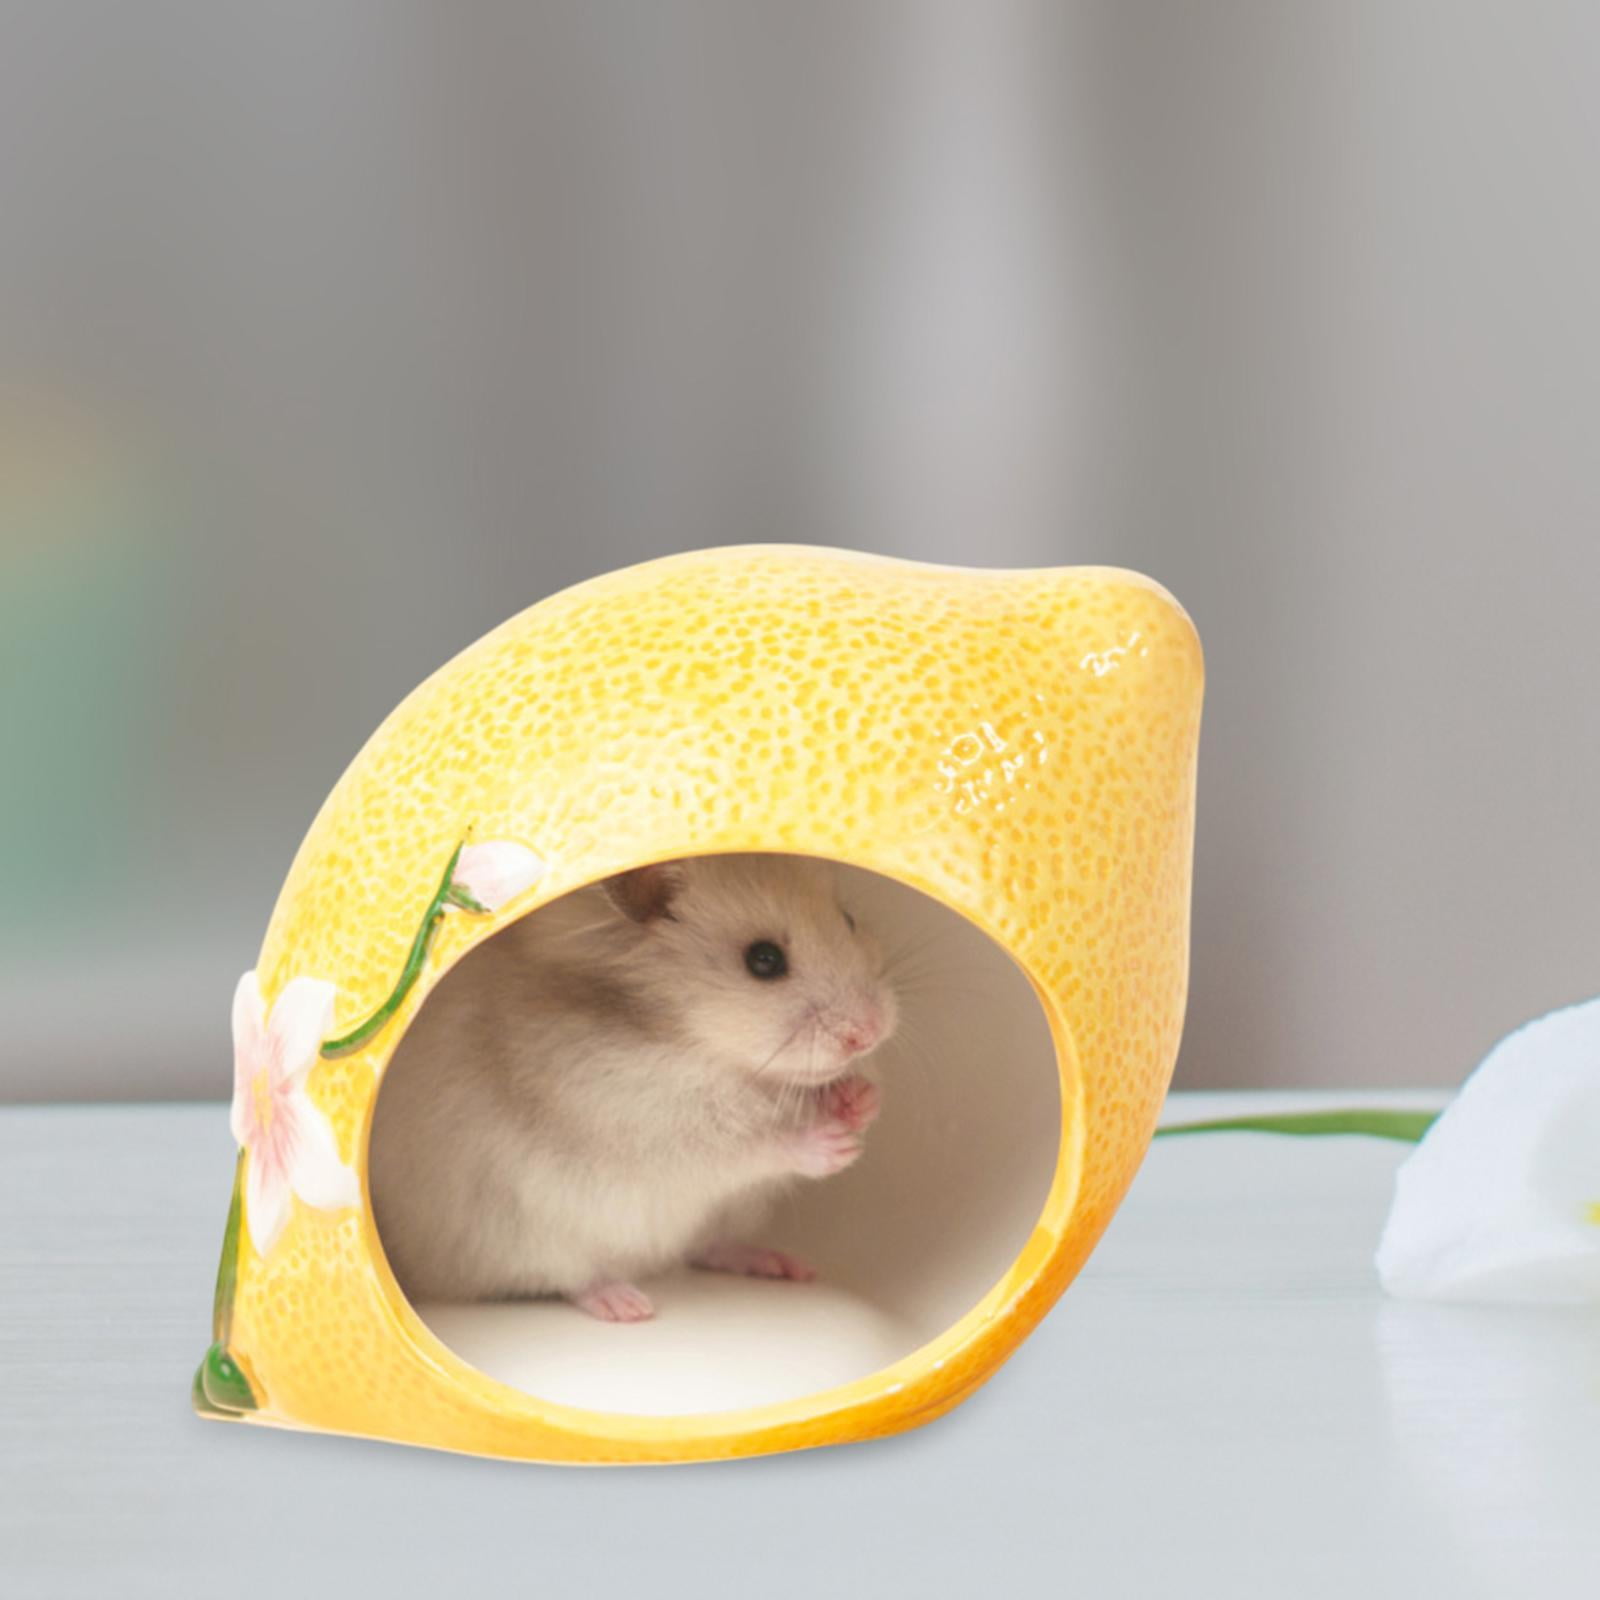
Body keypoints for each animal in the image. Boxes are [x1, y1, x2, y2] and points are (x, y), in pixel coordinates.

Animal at [369, 853, 898, 1322]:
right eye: (763, 960)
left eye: (848, 919)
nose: (870, 1032)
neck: (692, 1046)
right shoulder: (645, 1122)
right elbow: (747, 1146)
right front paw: (835, 1145)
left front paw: (861, 1100)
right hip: (520, 1237)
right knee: (570, 1278)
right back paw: (628, 1306)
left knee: (706, 1245)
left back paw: (784, 1265)